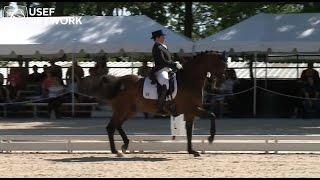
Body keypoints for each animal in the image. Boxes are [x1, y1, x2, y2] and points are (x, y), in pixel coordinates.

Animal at [78, 51, 226, 158]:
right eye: (221, 65)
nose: (220, 83)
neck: (189, 80)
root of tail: (119, 81)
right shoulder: (191, 109)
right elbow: (212, 115)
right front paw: (210, 139)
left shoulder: (190, 111)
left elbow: (189, 131)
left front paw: (192, 151)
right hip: (122, 110)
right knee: (111, 127)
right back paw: (116, 151)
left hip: (129, 111)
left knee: (117, 125)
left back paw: (125, 145)